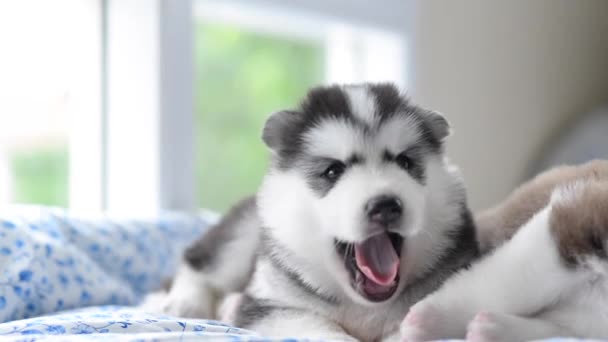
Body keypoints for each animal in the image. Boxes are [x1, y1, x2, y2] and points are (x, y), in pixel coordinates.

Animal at [157, 83, 480, 342]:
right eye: (333, 171)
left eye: (405, 163)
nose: (385, 205)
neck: (363, 306)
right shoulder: (273, 305)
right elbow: (317, 325)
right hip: (243, 231)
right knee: (199, 262)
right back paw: (185, 302)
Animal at [402, 159, 608, 340]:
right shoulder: (566, 225)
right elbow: (510, 286)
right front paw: (428, 319)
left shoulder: (586, 322)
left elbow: (551, 327)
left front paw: (490, 329)